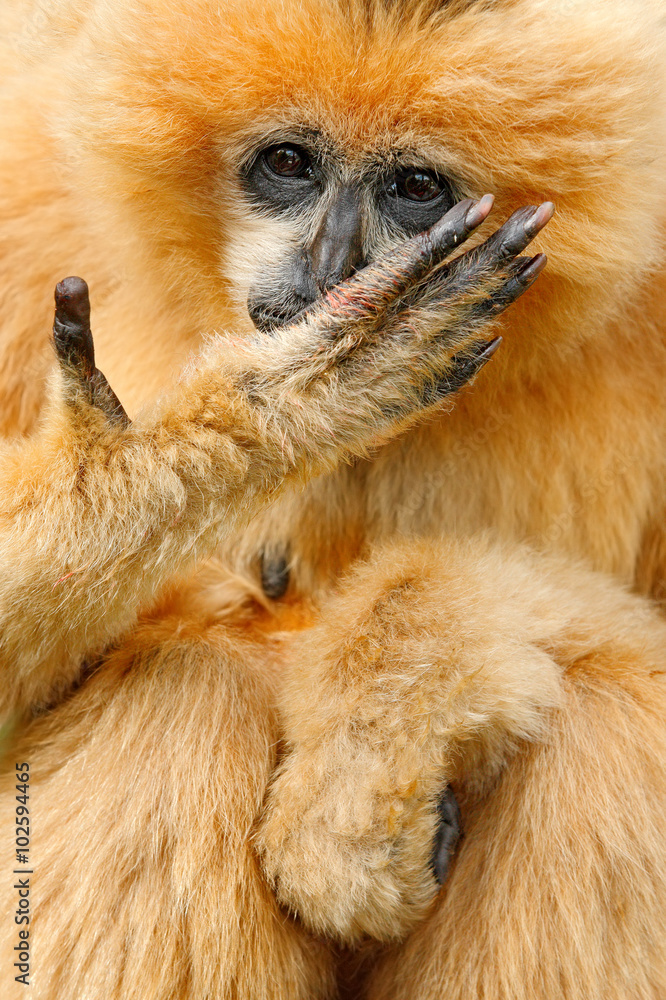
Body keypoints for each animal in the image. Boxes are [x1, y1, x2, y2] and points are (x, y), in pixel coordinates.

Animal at [1, 0, 666, 998]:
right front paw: (307, 390)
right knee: (191, 680)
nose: (334, 263)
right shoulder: (27, 196)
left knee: (606, 717)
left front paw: (356, 790)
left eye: (416, 185)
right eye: (288, 163)